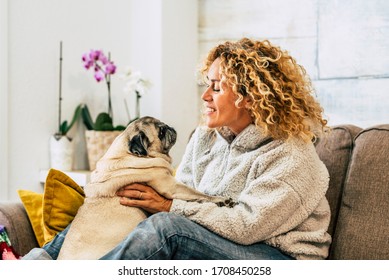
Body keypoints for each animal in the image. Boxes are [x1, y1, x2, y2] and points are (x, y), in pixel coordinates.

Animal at [56, 116, 227, 260]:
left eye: (164, 126)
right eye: (161, 131)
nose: (170, 127)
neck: (125, 154)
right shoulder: (171, 186)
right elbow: (197, 194)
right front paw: (221, 200)